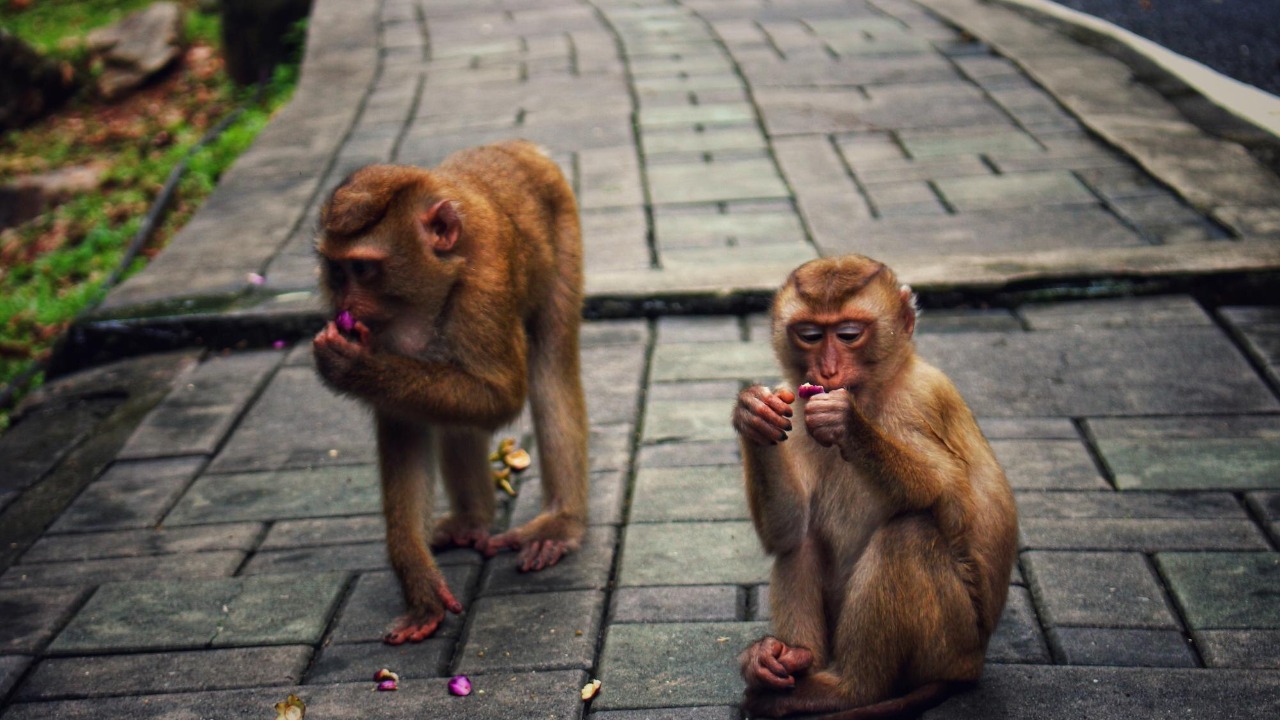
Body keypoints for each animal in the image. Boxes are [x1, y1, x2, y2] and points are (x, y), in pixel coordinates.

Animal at [312, 140, 589, 645]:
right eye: (337, 272)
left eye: (364, 268)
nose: (345, 309)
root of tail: (517, 146)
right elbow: (405, 425)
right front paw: (419, 584)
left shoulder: (485, 287)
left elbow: (503, 395)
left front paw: (352, 367)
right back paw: (471, 520)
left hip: (564, 227)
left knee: (552, 366)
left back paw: (560, 523)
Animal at [730, 255, 1018, 718]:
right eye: (810, 334)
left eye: (849, 334)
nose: (827, 370)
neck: (873, 393)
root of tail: (972, 664)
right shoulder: (798, 409)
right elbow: (786, 531)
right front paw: (752, 413)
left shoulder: (923, 401)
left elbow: (954, 502)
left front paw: (849, 425)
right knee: (802, 542)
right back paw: (784, 663)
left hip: (950, 642)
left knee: (910, 533)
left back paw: (849, 691)